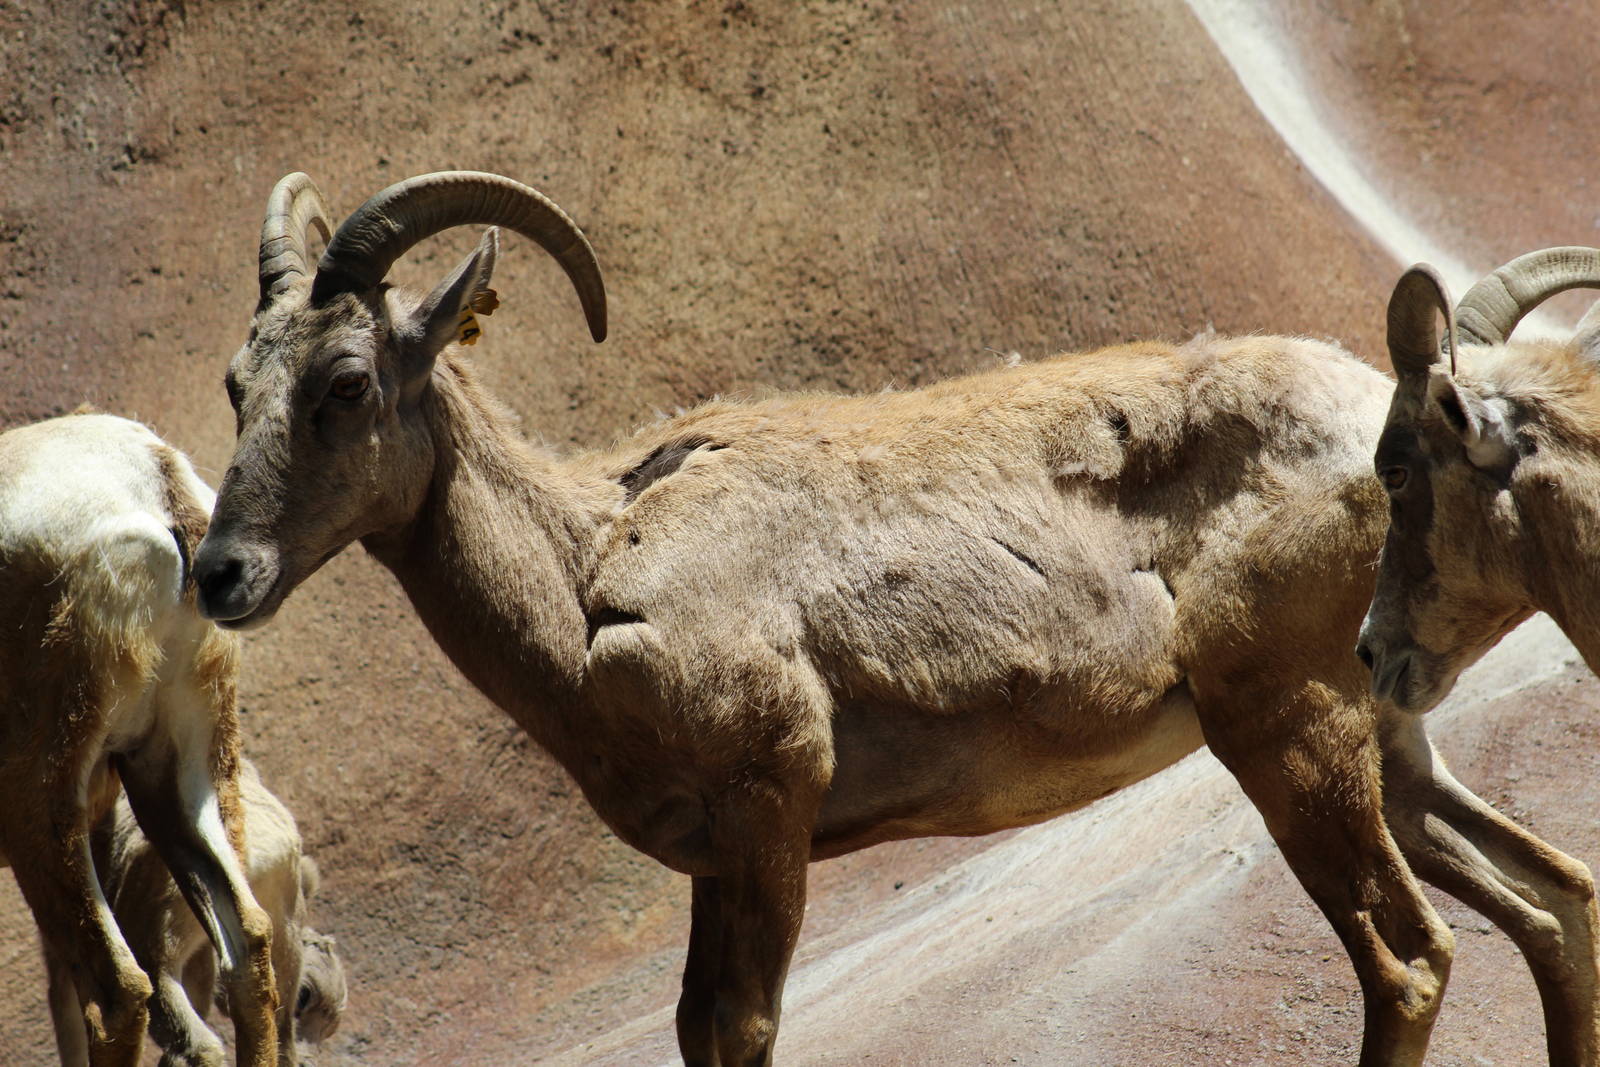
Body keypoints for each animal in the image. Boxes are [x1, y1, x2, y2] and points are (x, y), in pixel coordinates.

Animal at [191, 170, 1600, 1065]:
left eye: (345, 382)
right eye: (236, 384)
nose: (221, 573)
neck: (592, 571)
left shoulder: (770, 816)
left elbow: (744, 1030)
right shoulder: (715, 859)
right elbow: (696, 1031)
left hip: (1289, 737)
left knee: (1410, 960)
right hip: (1387, 738)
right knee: (1551, 897)